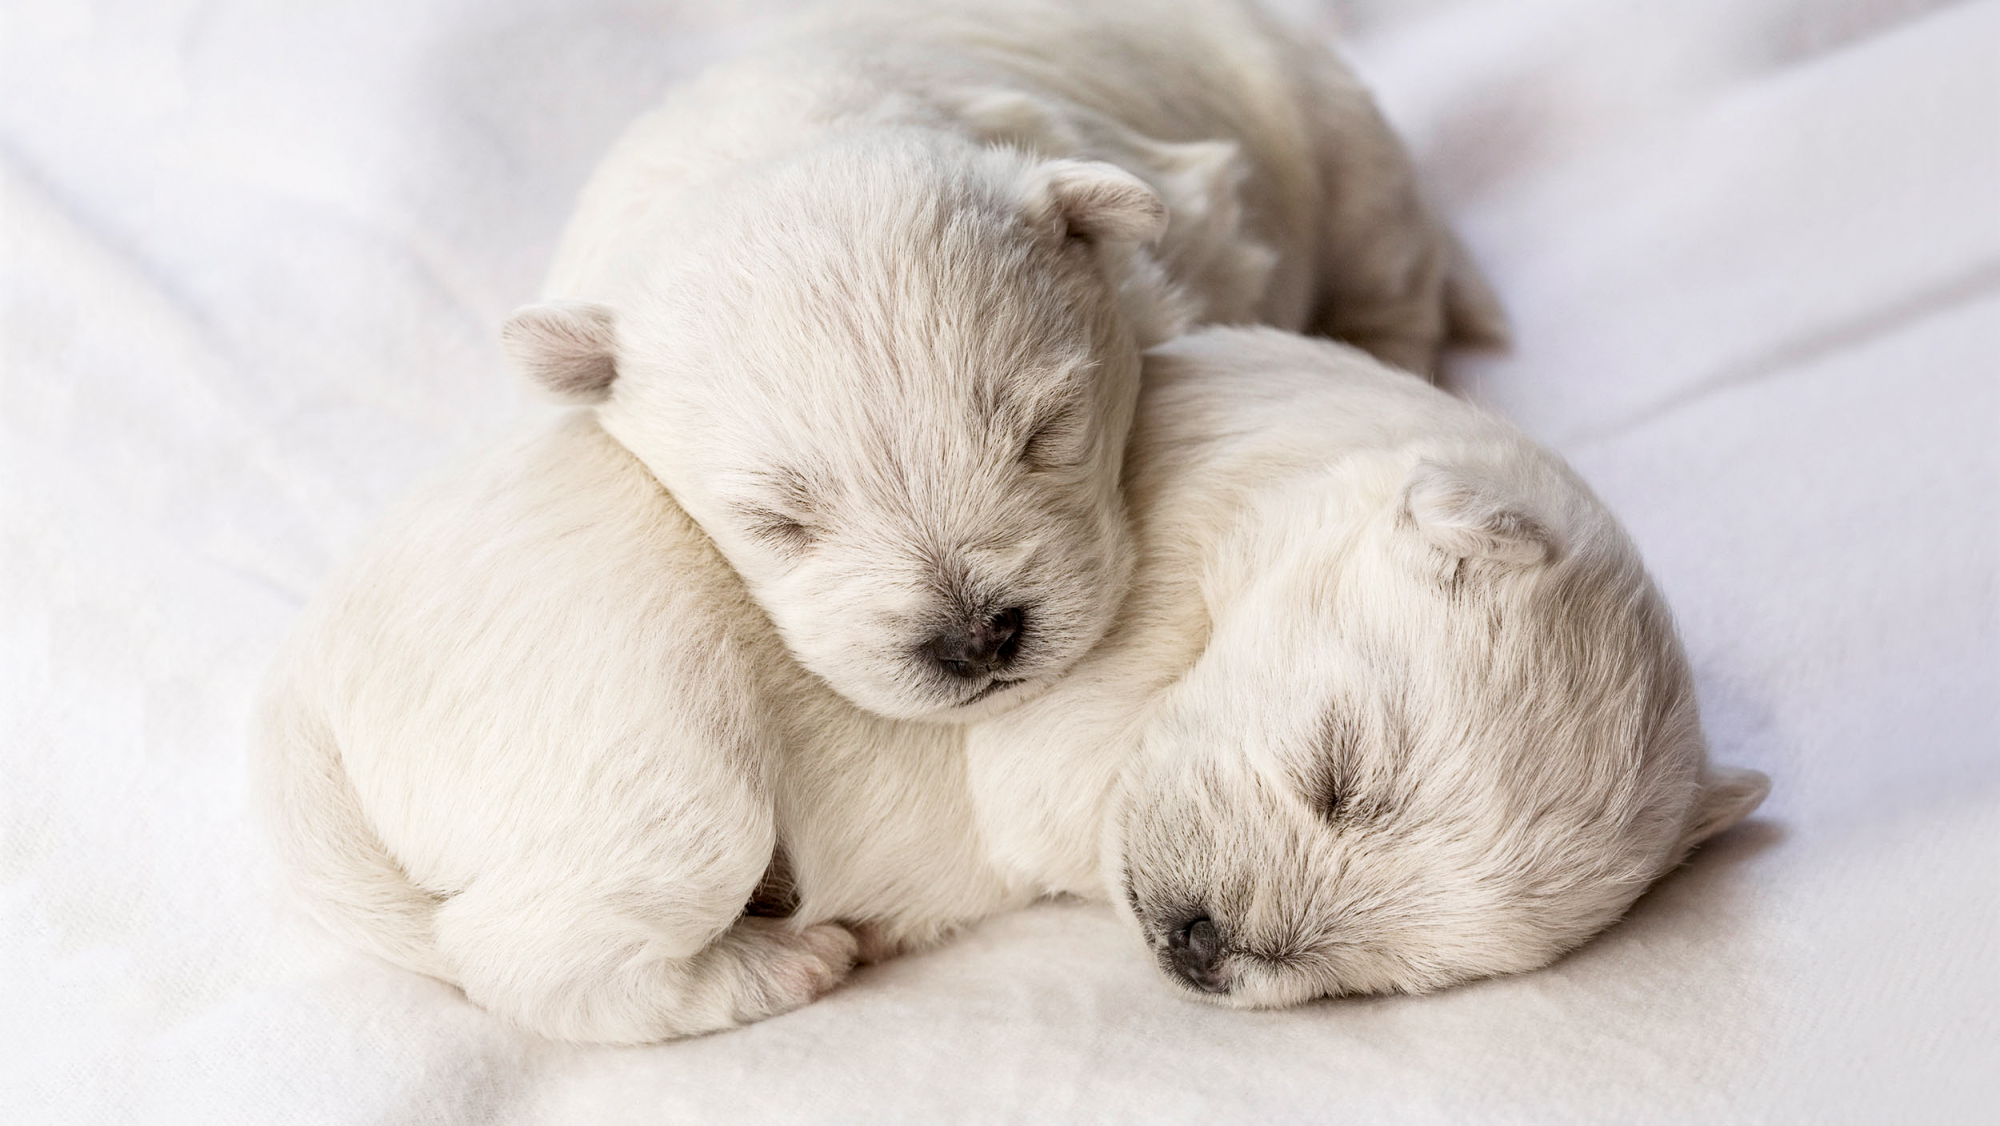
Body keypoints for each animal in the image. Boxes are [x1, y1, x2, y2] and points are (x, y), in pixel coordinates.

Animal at [254, 326, 1768, 1048]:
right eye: (1339, 774)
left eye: (1409, 971)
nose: (1205, 948)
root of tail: (315, 702)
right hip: (670, 782)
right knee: (525, 960)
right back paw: (779, 961)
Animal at [508, 0, 1504, 724]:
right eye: (775, 522)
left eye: (1047, 433)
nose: (976, 641)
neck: (791, 139)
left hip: (1348, 153)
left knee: (1393, 279)